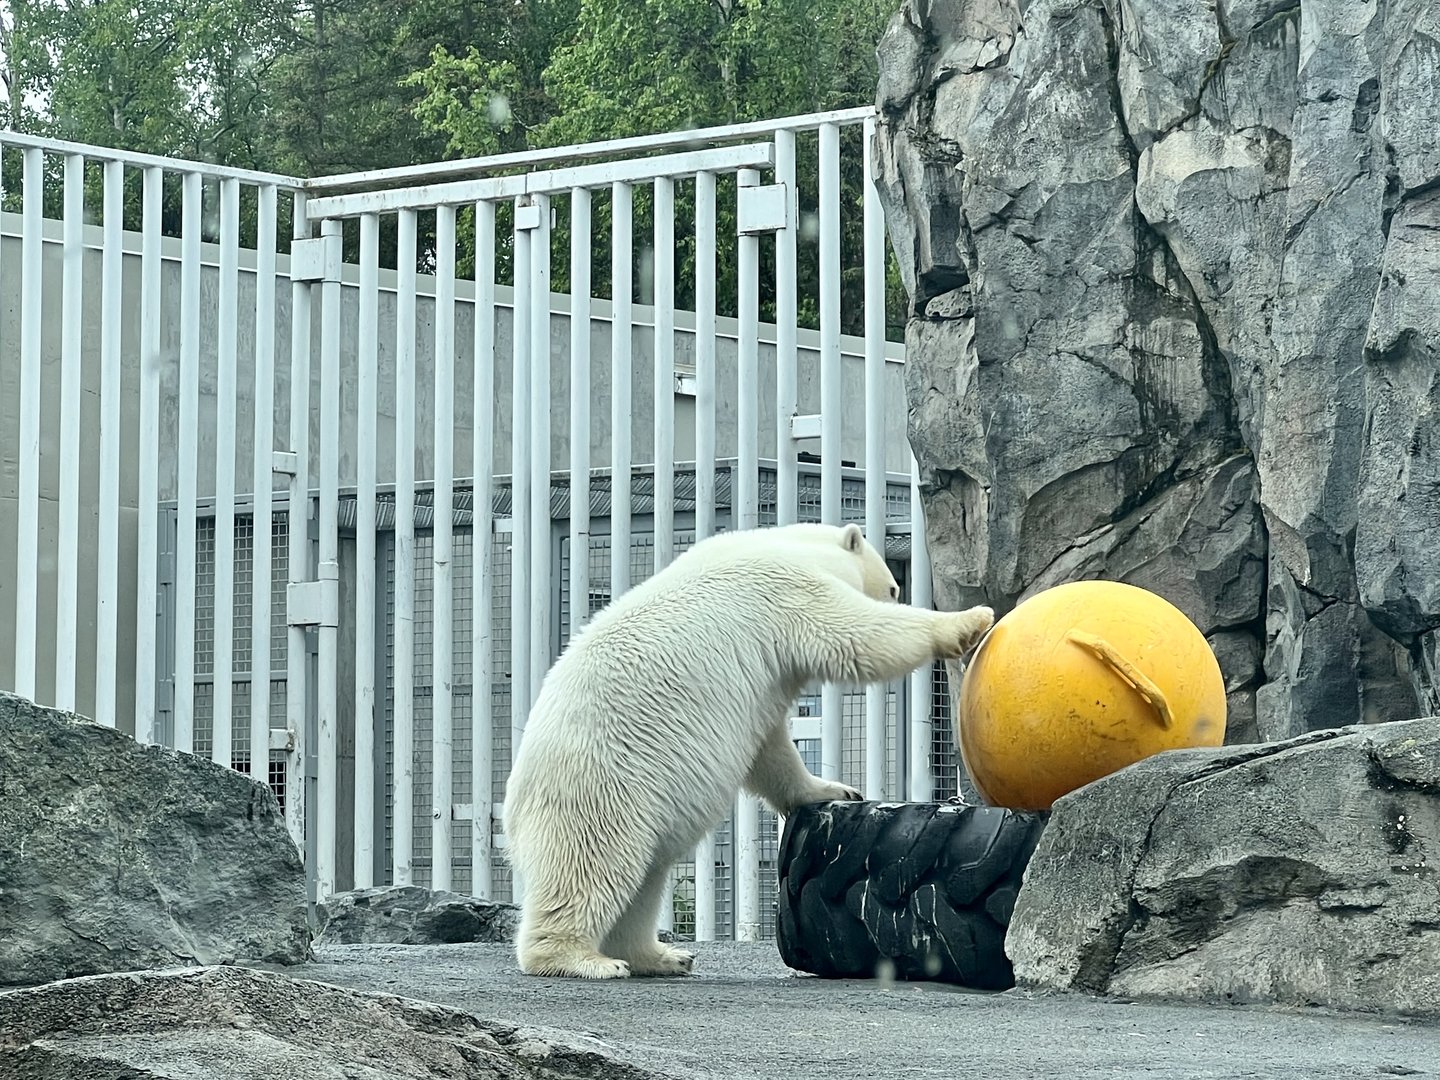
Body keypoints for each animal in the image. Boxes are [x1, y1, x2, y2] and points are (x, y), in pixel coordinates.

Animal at [501, 521, 994, 979]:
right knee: (590, 867)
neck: (782, 544)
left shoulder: (764, 673)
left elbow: (770, 749)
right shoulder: (784, 592)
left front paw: (834, 790)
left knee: (644, 881)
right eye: (892, 587)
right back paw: (582, 959)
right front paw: (972, 619)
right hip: (603, 789)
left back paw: (664, 956)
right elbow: (857, 633)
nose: (895, 592)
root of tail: (514, 811)